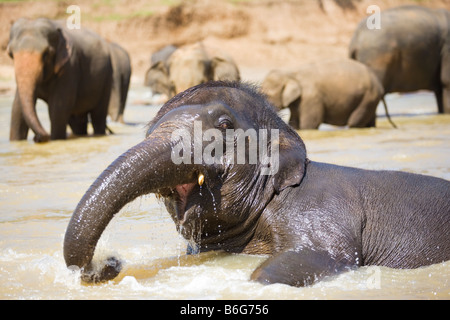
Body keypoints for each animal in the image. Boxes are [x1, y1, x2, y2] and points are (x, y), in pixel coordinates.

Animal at [262, 59, 392, 129]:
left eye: (267, 95)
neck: (290, 73)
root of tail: (378, 83)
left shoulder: (311, 98)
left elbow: (310, 124)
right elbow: (294, 122)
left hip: (368, 96)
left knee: (354, 122)